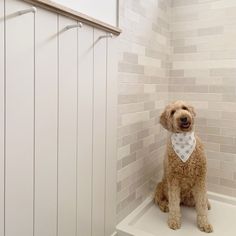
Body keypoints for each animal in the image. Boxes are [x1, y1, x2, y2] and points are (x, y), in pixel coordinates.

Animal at [154, 99, 213, 232]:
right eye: (172, 112)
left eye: (184, 108)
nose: (184, 118)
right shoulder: (173, 180)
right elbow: (174, 204)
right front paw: (174, 221)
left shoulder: (200, 179)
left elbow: (201, 203)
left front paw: (204, 223)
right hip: (160, 185)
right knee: (158, 199)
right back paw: (165, 206)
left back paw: (207, 203)